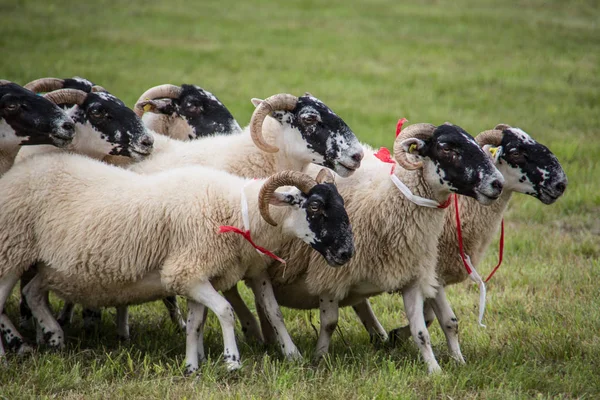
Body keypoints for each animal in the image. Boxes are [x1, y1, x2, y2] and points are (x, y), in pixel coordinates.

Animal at [0, 150, 352, 372]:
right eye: (316, 206)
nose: (347, 253)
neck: (234, 210)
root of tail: (16, 171)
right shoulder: (186, 271)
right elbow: (225, 311)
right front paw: (231, 361)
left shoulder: (195, 275)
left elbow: (200, 321)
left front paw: (192, 366)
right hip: (12, 247)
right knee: (4, 299)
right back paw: (13, 353)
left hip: (49, 265)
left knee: (32, 291)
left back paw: (53, 337)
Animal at [232, 122, 504, 372]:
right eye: (447, 148)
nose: (497, 183)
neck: (391, 199)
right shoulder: (330, 273)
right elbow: (329, 322)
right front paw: (319, 358)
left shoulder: (412, 275)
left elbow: (421, 331)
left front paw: (435, 370)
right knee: (251, 300)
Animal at [380, 124, 568, 344]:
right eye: (515, 152)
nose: (560, 184)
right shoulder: (433, 271)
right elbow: (434, 317)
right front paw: (397, 336)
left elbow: (429, 316)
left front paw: (396, 336)